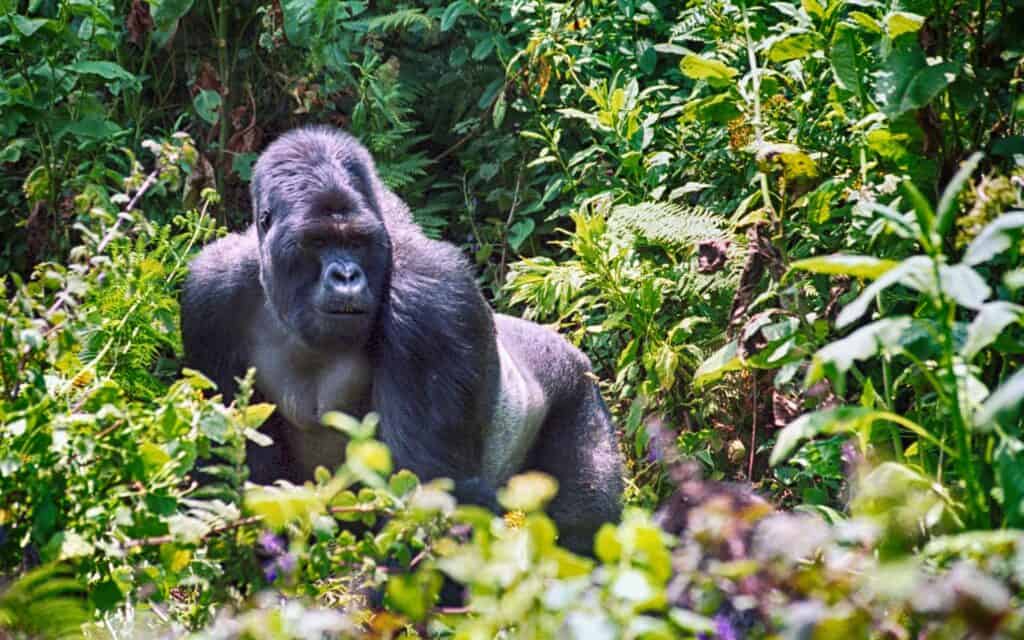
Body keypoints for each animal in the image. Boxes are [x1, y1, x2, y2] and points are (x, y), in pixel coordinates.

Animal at [180, 127, 618, 552]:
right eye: (317, 241)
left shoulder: (430, 299)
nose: (346, 276)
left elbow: (428, 495)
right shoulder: (209, 293)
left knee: (586, 532)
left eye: (356, 242)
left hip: (578, 389)